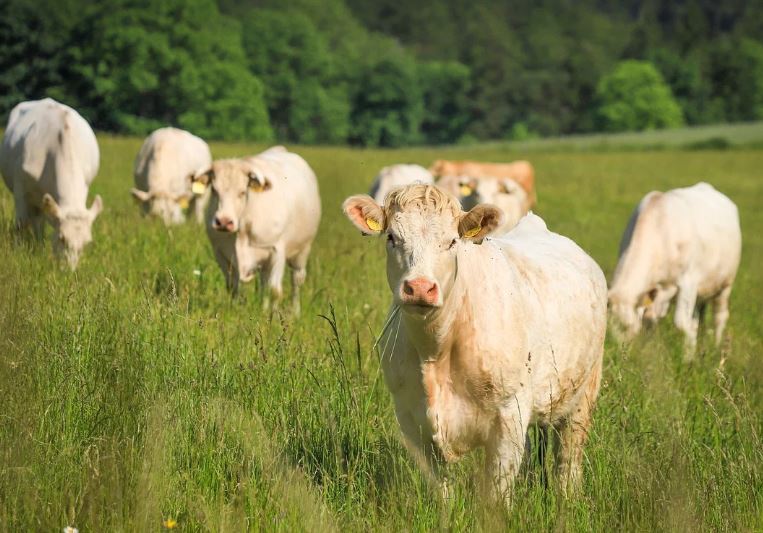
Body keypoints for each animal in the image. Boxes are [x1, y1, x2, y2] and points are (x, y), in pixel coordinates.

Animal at [0, 97, 103, 268]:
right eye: (62, 238)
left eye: (86, 243)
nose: (69, 270)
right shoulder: (20, 188)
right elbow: (21, 223)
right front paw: (19, 251)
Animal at [194, 145, 322, 312]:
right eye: (214, 190)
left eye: (242, 192)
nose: (223, 221)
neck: (242, 229)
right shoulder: (221, 254)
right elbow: (233, 287)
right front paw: (235, 311)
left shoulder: (276, 252)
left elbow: (275, 291)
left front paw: (273, 317)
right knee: (263, 283)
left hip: (302, 251)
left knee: (296, 280)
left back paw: (295, 312)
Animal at [344, 184, 604, 502]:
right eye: (392, 237)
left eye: (452, 241)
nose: (420, 287)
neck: (436, 350)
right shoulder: (410, 417)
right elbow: (442, 489)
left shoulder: (509, 416)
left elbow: (496, 493)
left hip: (584, 395)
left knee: (568, 460)